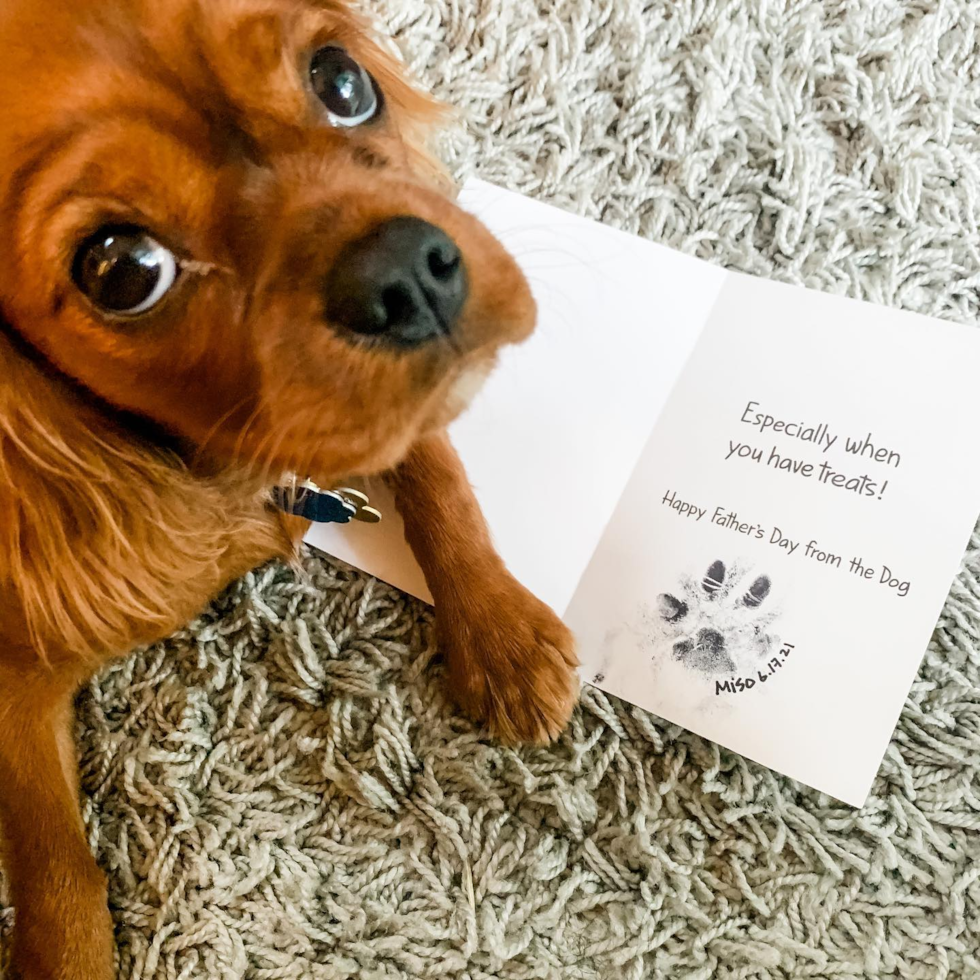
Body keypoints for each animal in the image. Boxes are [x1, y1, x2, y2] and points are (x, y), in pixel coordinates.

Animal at [0, 3, 580, 976]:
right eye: (123, 269)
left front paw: (500, 632)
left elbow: (437, 474)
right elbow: (52, 868)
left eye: (343, 81)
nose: (404, 268)